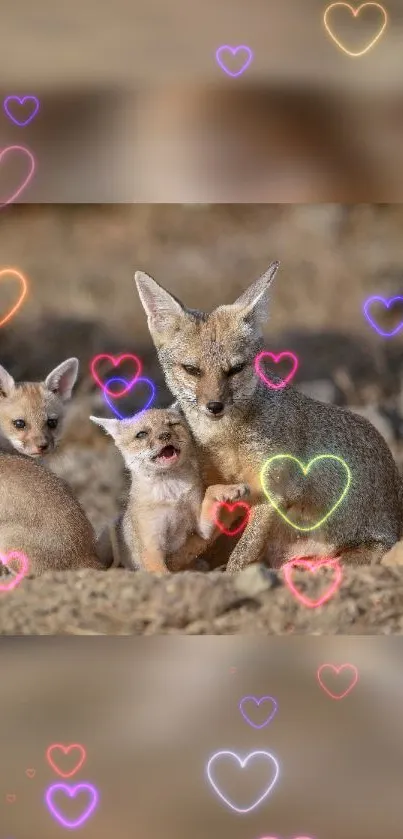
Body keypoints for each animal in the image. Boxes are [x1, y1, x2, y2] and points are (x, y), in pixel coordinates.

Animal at [135, 266, 403, 572]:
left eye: (236, 369)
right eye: (192, 370)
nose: (214, 406)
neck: (224, 440)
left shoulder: (274, 492)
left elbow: (242, 553)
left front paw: (230, 575)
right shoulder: (227, 492)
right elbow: (202, 537)